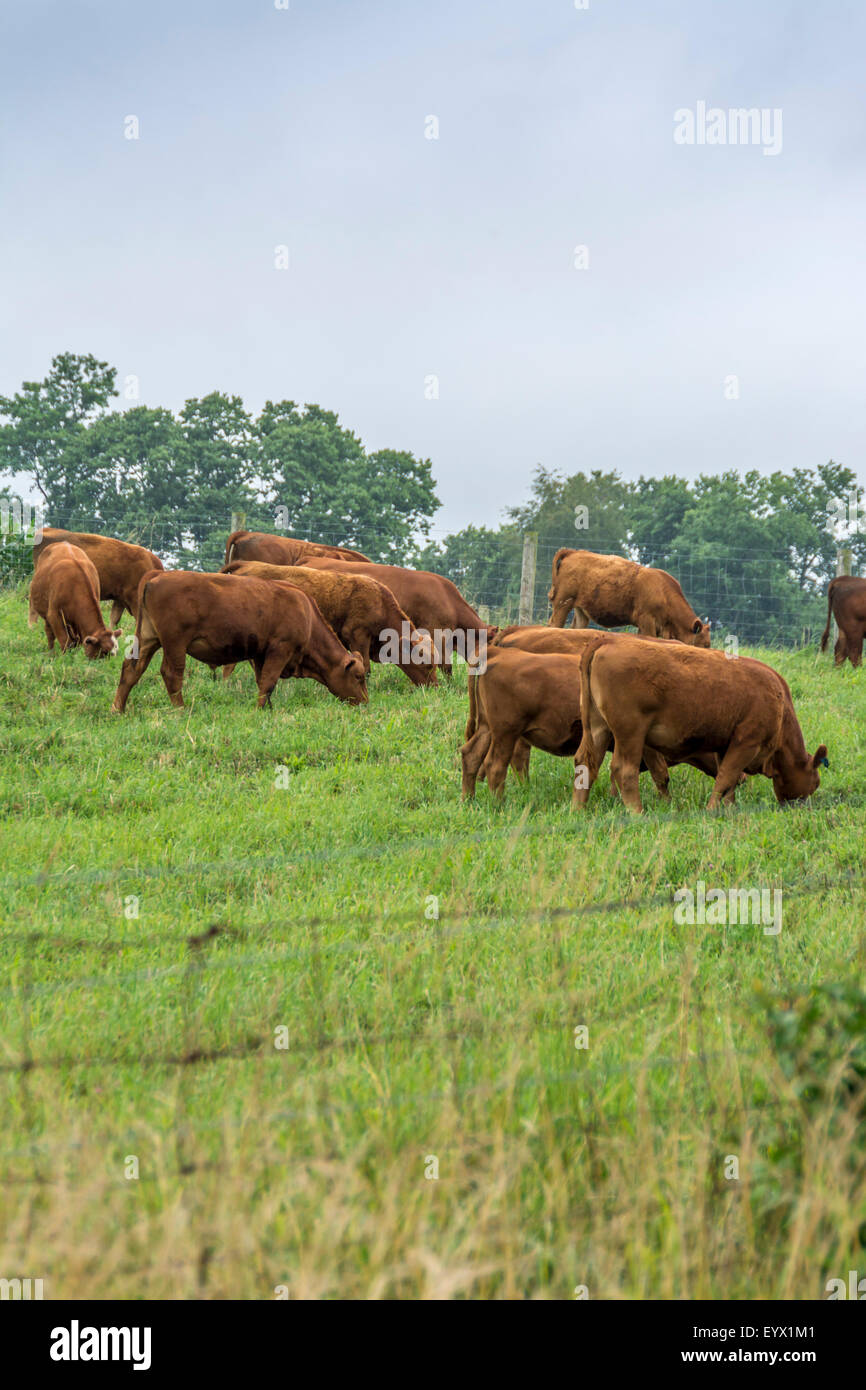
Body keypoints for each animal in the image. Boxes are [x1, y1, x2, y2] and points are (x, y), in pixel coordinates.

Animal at [111, 571, 368, 713]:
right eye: (358, 676)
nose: (365, 702)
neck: (307, 615)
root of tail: (157, 575)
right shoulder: (280, 649)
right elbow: (268, 683)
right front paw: (259, 711)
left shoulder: (260, 654)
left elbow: (262, 682)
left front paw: (267, 709)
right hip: (175, 643)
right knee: (171, 674)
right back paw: (180, 709)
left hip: (148, 638)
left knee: (132, 669)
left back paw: (118, 709)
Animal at [220, 560, 437, 686]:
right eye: (425, 663)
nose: (434, 687)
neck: (379, 603)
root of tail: (246, 566)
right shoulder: (358, 635)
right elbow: (366, 667)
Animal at [547, 548, 710, 645]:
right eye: (703, 644)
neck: (664, 593)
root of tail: (572, 552)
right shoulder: (647, 622)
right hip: (562, 604)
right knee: (554, 624)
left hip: (580, 610)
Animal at [574, 635, 827, 814]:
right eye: (815, 783)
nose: (803, 807)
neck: (780, 703)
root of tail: (608, 640)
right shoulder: (747, 742)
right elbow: (726, 777)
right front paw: (712, 809)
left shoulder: (726, 746)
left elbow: (729, 781)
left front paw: (728, 808)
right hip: (630, 734)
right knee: (623, 770)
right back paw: (637, 812)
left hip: (597, 728)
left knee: (586, 763)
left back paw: (578, 809)